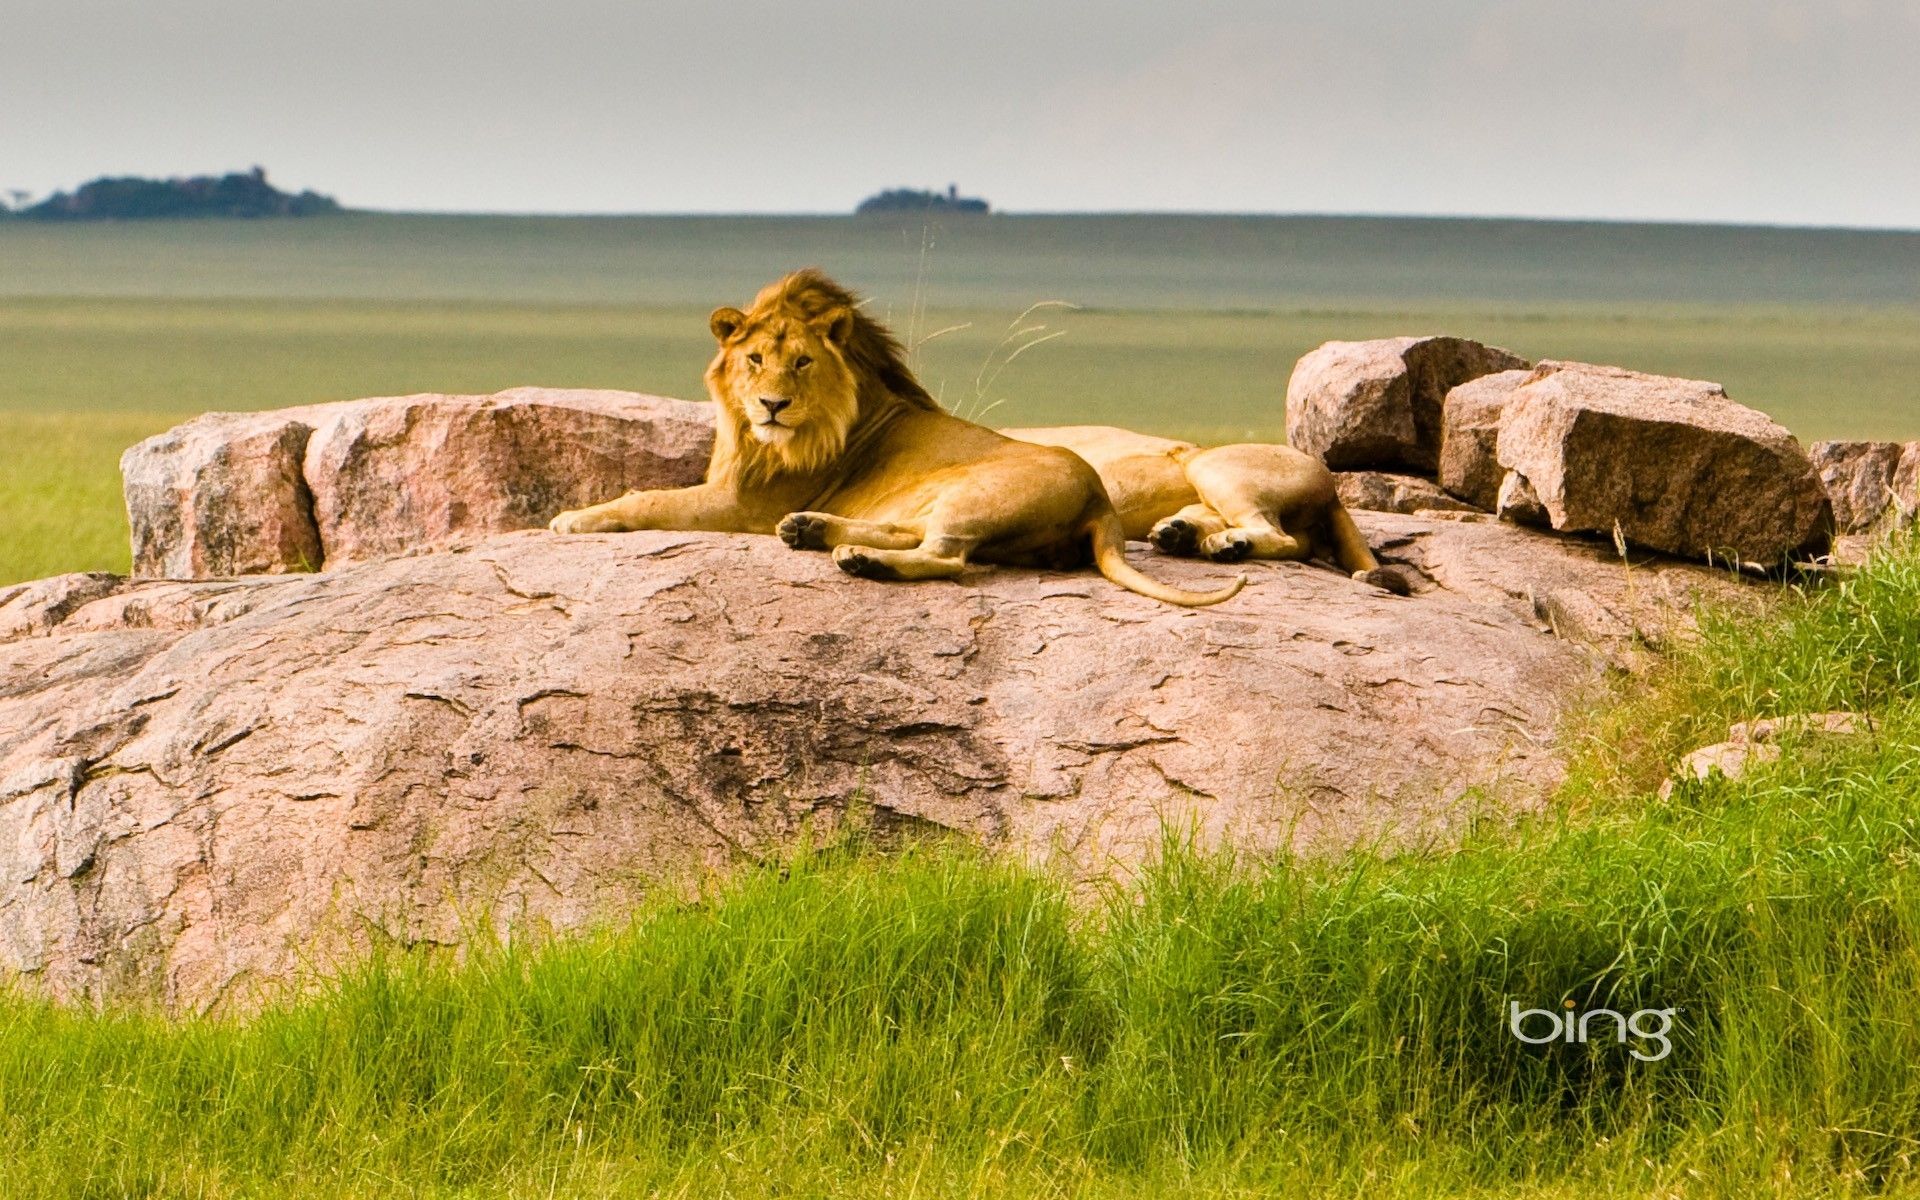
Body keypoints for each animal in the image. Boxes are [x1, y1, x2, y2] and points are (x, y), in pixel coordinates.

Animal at [548, 270, 1244, 607]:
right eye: (754, 360)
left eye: (802, 362)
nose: (773, 405)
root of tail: (1101, 502)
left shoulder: (741, 504)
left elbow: (647, 497)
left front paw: (572, 519)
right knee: (914, 534)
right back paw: (813, 531)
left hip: (974, 491)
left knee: (946, 556)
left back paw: (859, 560)